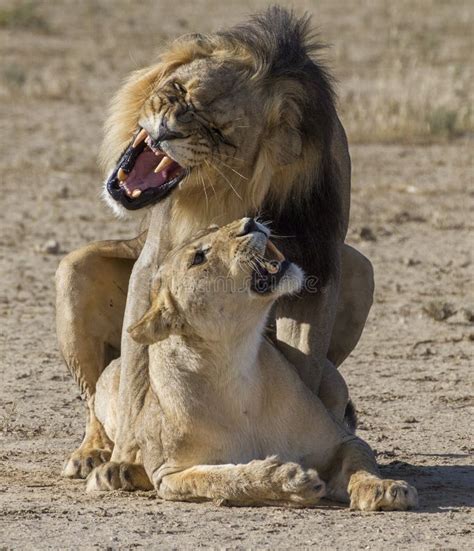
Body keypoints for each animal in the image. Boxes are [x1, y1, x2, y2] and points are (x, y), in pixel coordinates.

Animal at [55, 10, 374, 480]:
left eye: (218, 131)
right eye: (177, 91)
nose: (167, 131)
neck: (227, 186)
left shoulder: (319, 263)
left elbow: (306, 357)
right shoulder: (154, 261)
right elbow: (135, 375)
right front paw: (126, 459)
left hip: (361, 272)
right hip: (74, 268)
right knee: (97, 397)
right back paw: (92, 452)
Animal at [86, 217, 418, 512]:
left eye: (216, 226)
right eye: (198, 256)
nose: (250, 223)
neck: (234, 363)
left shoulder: (341, 441)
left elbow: (360, 462)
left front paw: (382, 488)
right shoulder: (169, 475)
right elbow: (219, 479)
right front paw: (288, 480)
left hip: (334, 379)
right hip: (106, 386)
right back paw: (112, 470)